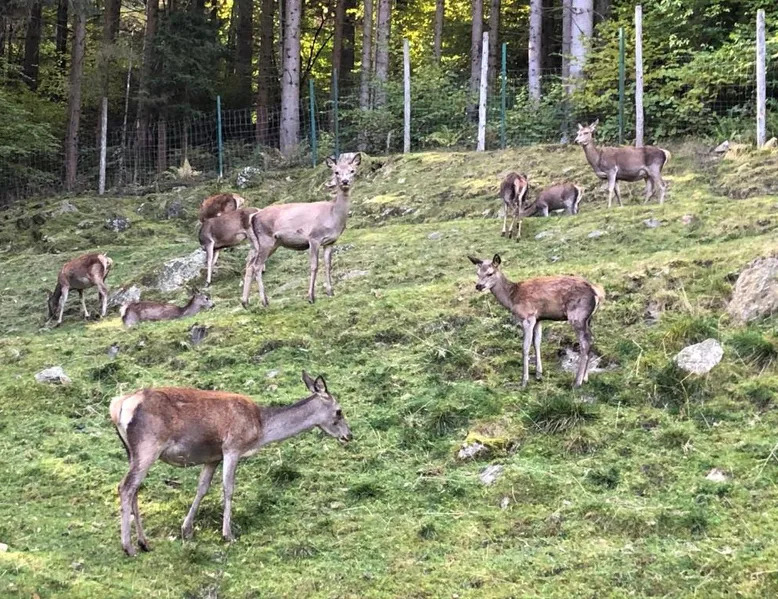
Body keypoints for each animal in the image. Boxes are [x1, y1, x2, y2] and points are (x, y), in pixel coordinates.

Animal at [110, 371, 352, 556]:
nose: (349, 435)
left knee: (135, 489)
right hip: (148, 445)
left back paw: (144, 542)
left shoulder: (213, 457)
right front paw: (228, 534)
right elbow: (228, 488)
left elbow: (202, 488)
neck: (260, 428)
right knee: (126, 486)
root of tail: (117, 407)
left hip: (131, 451)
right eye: (339, 411)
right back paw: (128, 547)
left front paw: (186, 530)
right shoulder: (232, 447)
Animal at [241, 152, 361, 307]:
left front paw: (330, 292)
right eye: (336, 172)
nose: (345, 181)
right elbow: (314, 266)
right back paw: (264, 301)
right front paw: (311, 297)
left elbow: (328, 265)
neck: (333, 215)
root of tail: (254, 217)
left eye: (352, 171)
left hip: (265, 243)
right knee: (257, 266)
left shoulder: (330, 242)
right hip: (266, 239)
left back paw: (245, 302)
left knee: (250, 264)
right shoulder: (314, 237)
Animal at [468, 254, 605, 388]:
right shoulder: (539, 318)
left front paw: (524, 381)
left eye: (490, 273)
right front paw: (539, 374)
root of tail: (597, 292)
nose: (478, 286)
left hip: (577, 316)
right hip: (588, 318)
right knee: (591, 339)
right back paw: (585, 378)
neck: (512, 298)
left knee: (585, 343)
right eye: (477, 273)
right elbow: (537, 342)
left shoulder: (528, 316)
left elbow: (525, 347)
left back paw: (577, 382)